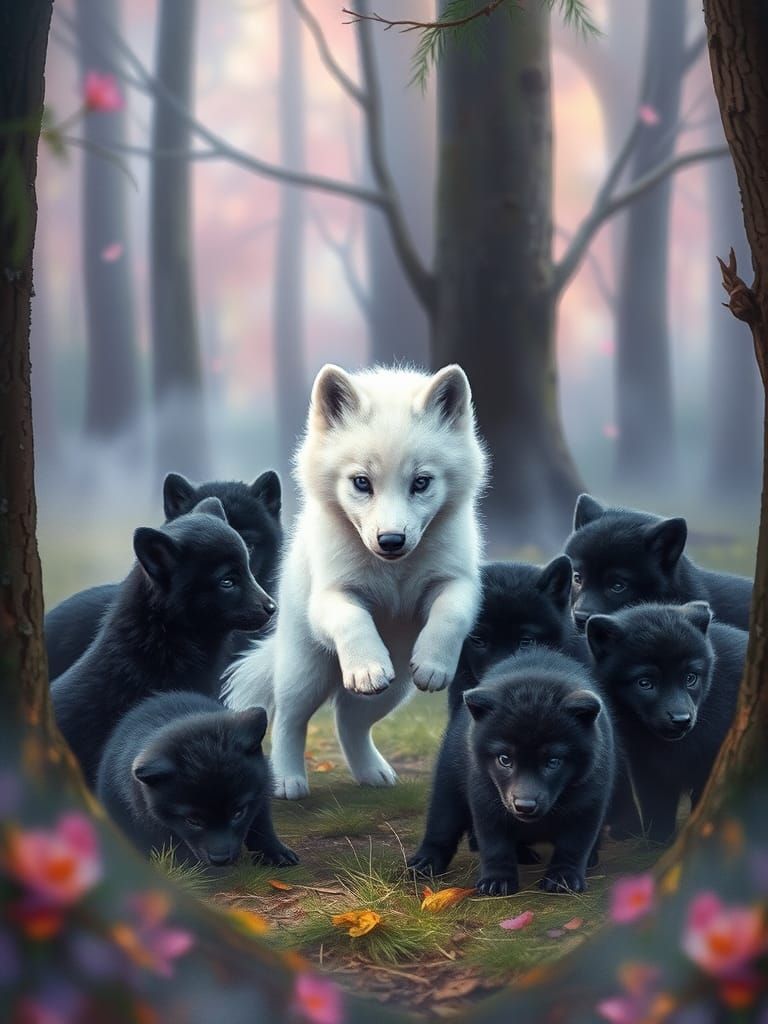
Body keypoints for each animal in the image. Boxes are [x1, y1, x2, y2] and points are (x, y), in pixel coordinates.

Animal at [97, 691, 297, 867]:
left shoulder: (260, 793)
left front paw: (274, 852)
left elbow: (261, 823)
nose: (220, 860)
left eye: (238, 813)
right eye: (192, 821)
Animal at [226, 363, 487, 799]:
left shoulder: (458, 581)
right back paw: (287, 780)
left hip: (396, 688)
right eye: (362, 482)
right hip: (306, 670)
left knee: (349, 719)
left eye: (421, 482)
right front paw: (365, 667)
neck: (394, 571)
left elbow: (450, 613)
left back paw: (374, 774)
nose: (392, 540)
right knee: (288, 719)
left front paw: (434, 664)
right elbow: (353, 618)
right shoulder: (330, 596)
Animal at [586, 601, 747, 843]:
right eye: (645, 683)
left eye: (690, 678)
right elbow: (656, 806)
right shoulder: (646, 765)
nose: (681, 720)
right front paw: (658, 840)